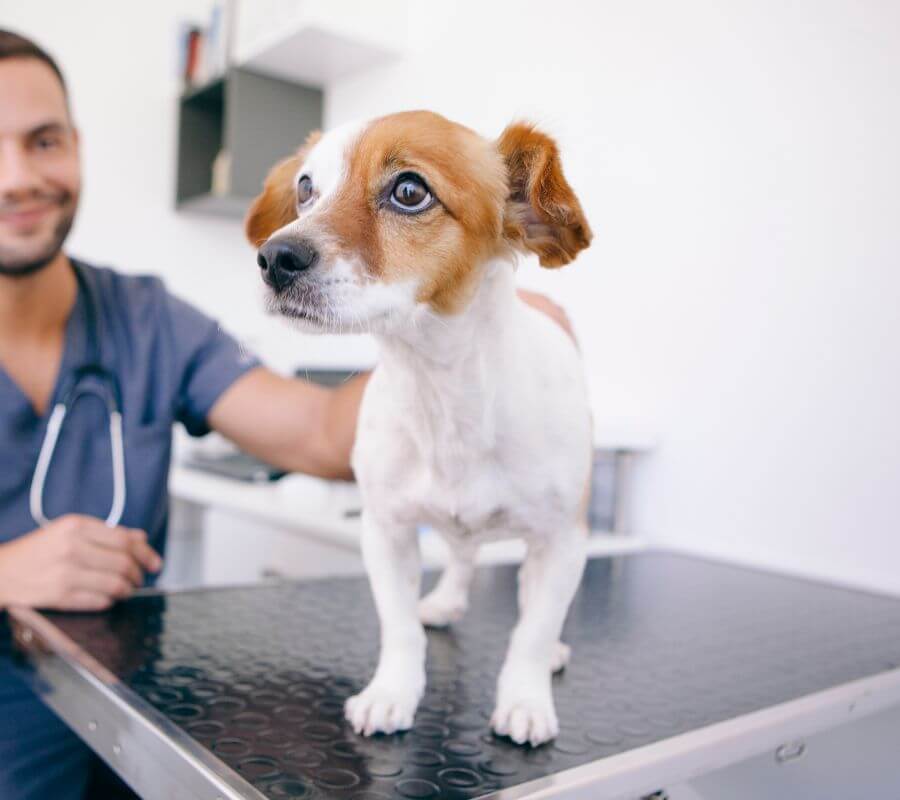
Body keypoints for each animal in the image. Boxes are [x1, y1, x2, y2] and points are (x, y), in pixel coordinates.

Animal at [244, 109, 592, 748]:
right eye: (305, 189)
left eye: (410, 191)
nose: (274, 257)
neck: (442, 393)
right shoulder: (387, 532)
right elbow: (399, 628)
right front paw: (392, 694)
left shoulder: (562, 543)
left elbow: (529, 634)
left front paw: (525, 700)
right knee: (462, 555)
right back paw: (446, 599)